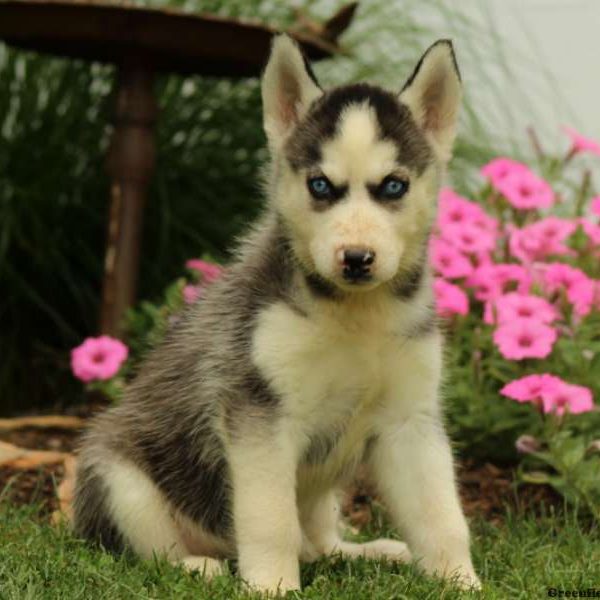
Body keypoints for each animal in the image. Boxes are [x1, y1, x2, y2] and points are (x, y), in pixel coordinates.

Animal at [72, 35, 480, 592]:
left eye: (394, 186)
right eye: (320, 186)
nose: (356, 258)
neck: (355, 316)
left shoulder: (409, 419)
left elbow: (442, 517)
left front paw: (460, 582)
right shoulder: (259, 415)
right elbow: (270, 521)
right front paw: (271, 586)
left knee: (318, 541)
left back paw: (363, 551)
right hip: (117, 477)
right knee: (150, 548)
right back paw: (195, 564)